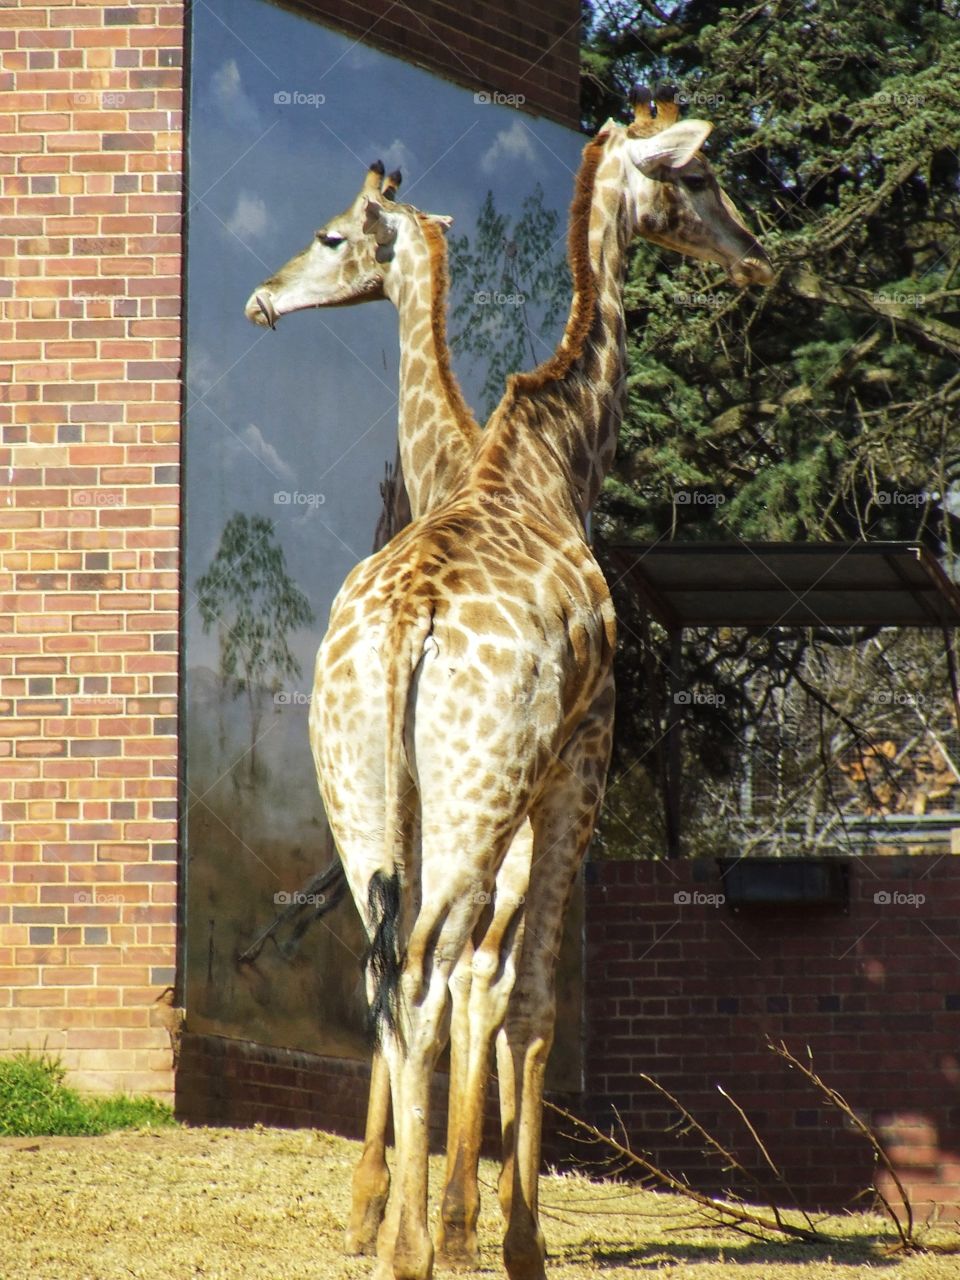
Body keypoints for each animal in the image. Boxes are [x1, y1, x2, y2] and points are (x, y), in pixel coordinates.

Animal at [244, 162, 535, 1261]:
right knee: (492, 977)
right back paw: (476, 1215)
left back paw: (446, 1215)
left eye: (332, 236)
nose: (262, 299)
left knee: (454, 972)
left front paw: (381, 1202)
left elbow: (407, 969)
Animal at [309, 86, 771, 1280]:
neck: (554, 462)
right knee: (431, 972)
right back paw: (416, 1245)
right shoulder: (583, 760)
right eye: (703, 176)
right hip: (482, 793)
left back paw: (396, 1228)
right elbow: (532, 998)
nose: (759, 256)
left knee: (385, 969)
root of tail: (404, 628)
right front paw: (517, 1241)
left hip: (361, 793)